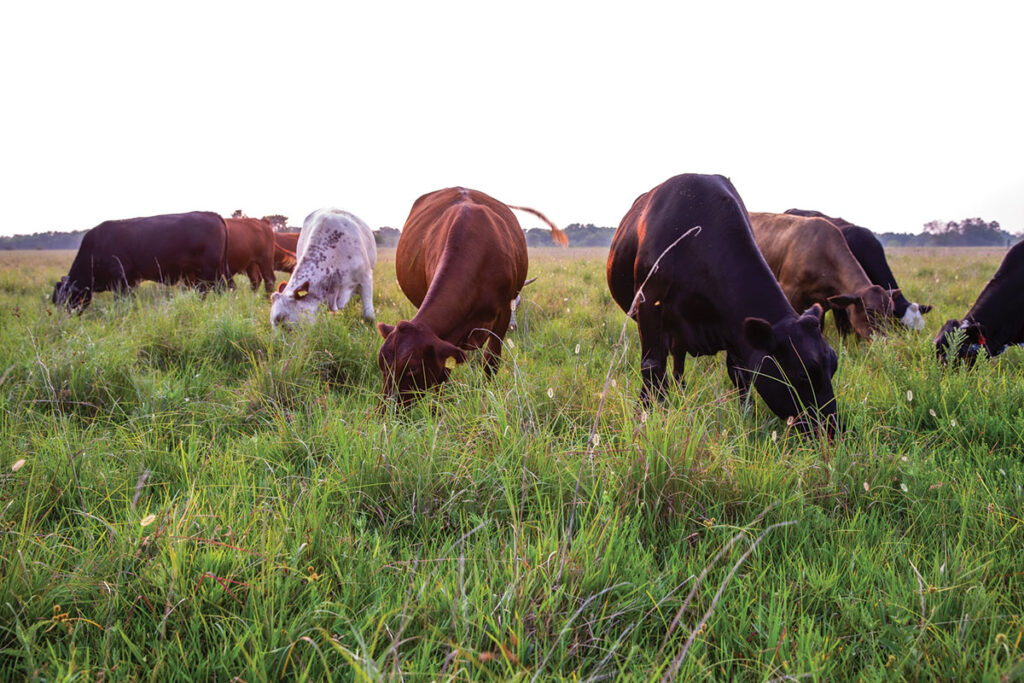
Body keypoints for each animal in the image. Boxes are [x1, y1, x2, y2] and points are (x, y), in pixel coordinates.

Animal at [51, 210, 228, 313]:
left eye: (66, 298)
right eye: (56, 300)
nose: (62, 319)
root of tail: (212, 214)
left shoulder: (120, 282)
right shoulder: (131, 282)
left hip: (208, 273)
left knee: (209, 291)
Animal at [376, 184, 569, 403]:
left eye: (413, 368)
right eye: (382, 364)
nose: (387, 408)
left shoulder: (503, 314)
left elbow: (491, 361)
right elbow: (443, 373)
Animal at [606, 174, 839, 436]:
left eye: (834, 366)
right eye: (801, 375)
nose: (831, 429)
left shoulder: (734, 329)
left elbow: (740, 374)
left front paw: (746, 418)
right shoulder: (648, 305)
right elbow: (652, 366)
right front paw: (644, 415)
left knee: (678, 359)